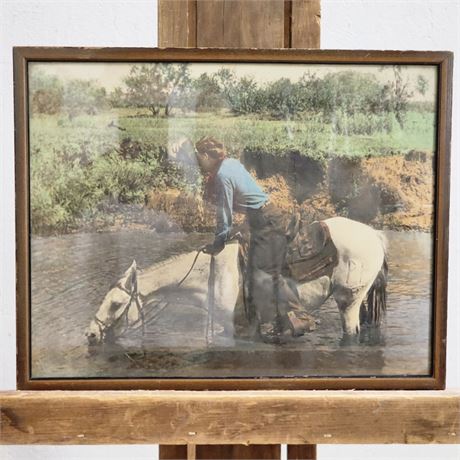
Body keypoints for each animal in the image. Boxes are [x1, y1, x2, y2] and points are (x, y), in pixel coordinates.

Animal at [86, 217, 388, 344]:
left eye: (115, 304)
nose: (90, 333)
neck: (213, 277)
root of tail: (375, 235)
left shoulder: (242, 328)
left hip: (349, 300)